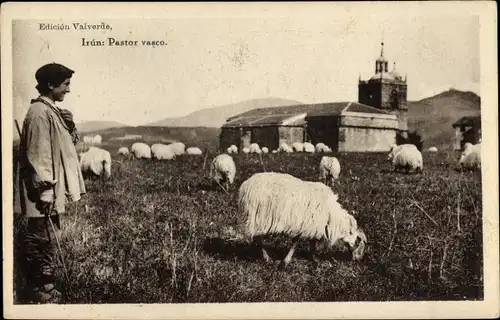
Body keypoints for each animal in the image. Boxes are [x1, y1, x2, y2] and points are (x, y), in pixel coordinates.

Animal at [238, 172, 368, 268]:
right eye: (359, 242)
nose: (359, 260)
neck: (332, 217)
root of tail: (245, 185)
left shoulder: (313, 225)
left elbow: (312, 243)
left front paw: (314, 259)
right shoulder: (304, 224)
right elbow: (296, 243)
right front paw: (285, 262)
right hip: (257, 218)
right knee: (257, 238)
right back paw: (267, 258)